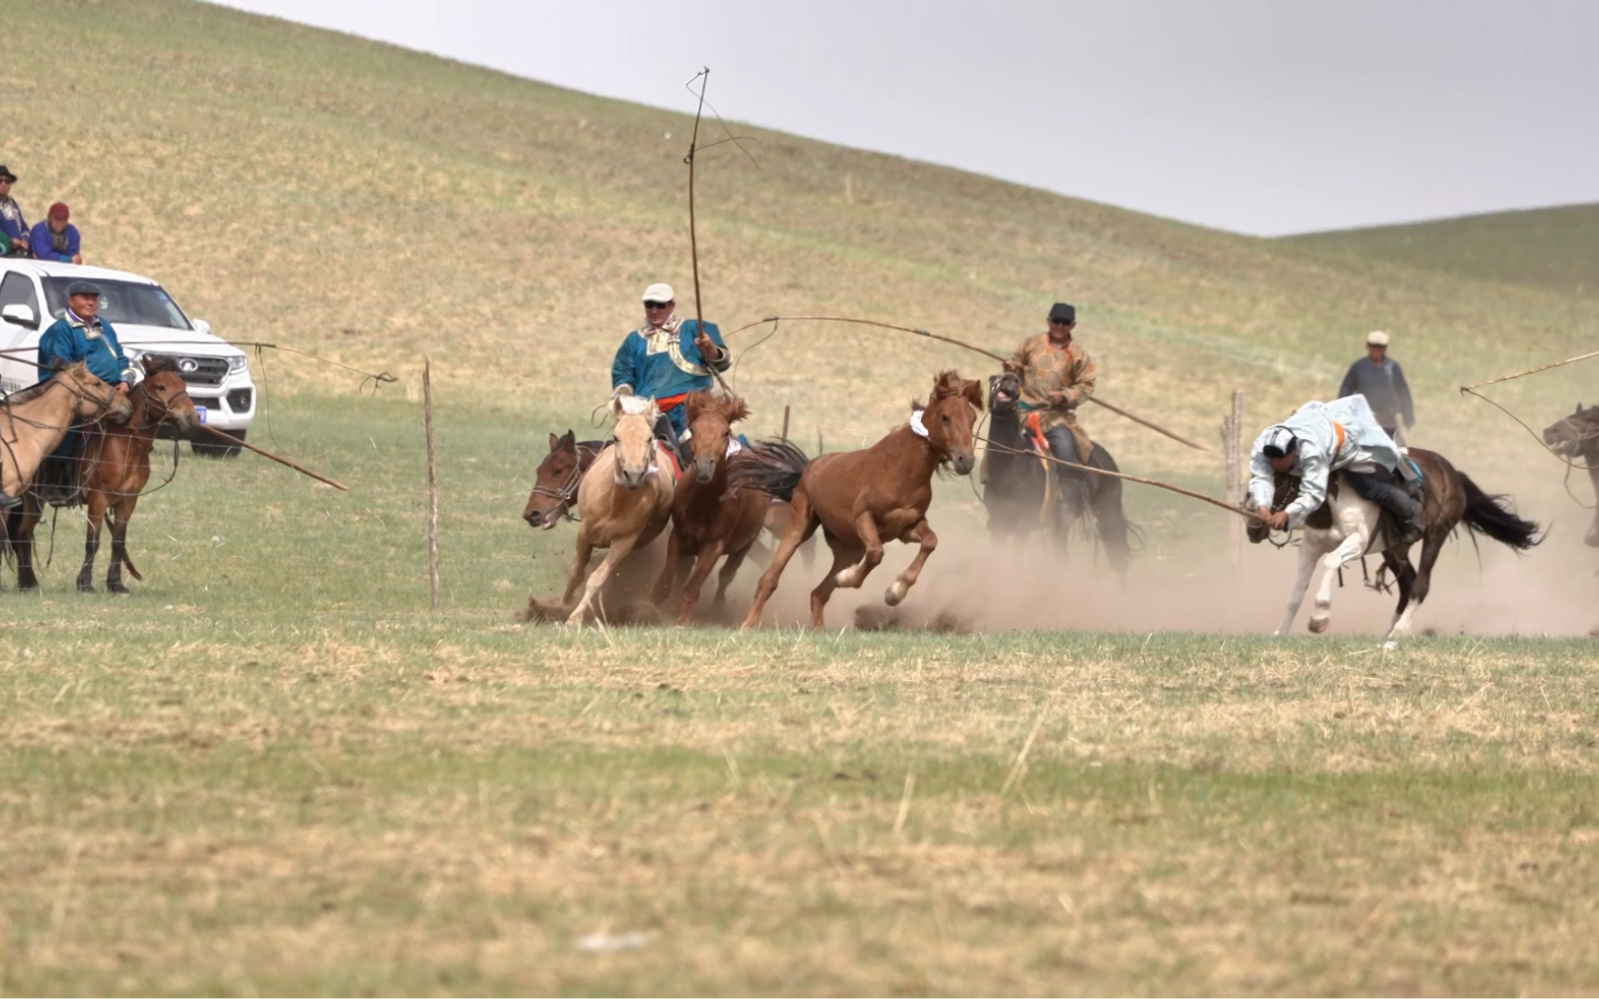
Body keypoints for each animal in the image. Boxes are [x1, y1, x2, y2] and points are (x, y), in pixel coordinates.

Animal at [7, 356, 198, 591]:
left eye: (183, 384)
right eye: (161, 386)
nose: (192, 417)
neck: (126, 445)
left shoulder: (128, 501)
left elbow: (118, 542)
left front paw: (115, 583)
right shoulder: (98, 499)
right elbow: (93, 542)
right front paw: (85, 583)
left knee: (21, 534)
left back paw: (28, 581)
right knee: (21, 534)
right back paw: (28, 582)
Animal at [652, 390, 770, 623]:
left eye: (725, 432)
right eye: (694, 429)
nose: (704, 466)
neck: (702, 503)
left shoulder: (713, 546)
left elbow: (691, 588)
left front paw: (680, 621)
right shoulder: (678, 537)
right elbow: (665, 582)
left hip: (746, 544)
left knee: (726, 575)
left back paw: (716, 610)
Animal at [732, 370, 978, 626]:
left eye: (973, 418)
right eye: (945, 417)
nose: (966, 461)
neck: (901, 470)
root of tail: (809, 468)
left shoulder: (907, 527)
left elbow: (930, 542)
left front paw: (895, 592)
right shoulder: (864, 518)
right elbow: (876, 553)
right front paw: (849, 578)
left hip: (849, 549)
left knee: (818, 593)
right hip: (799, 526)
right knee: (769, 579)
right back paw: (747, 625)